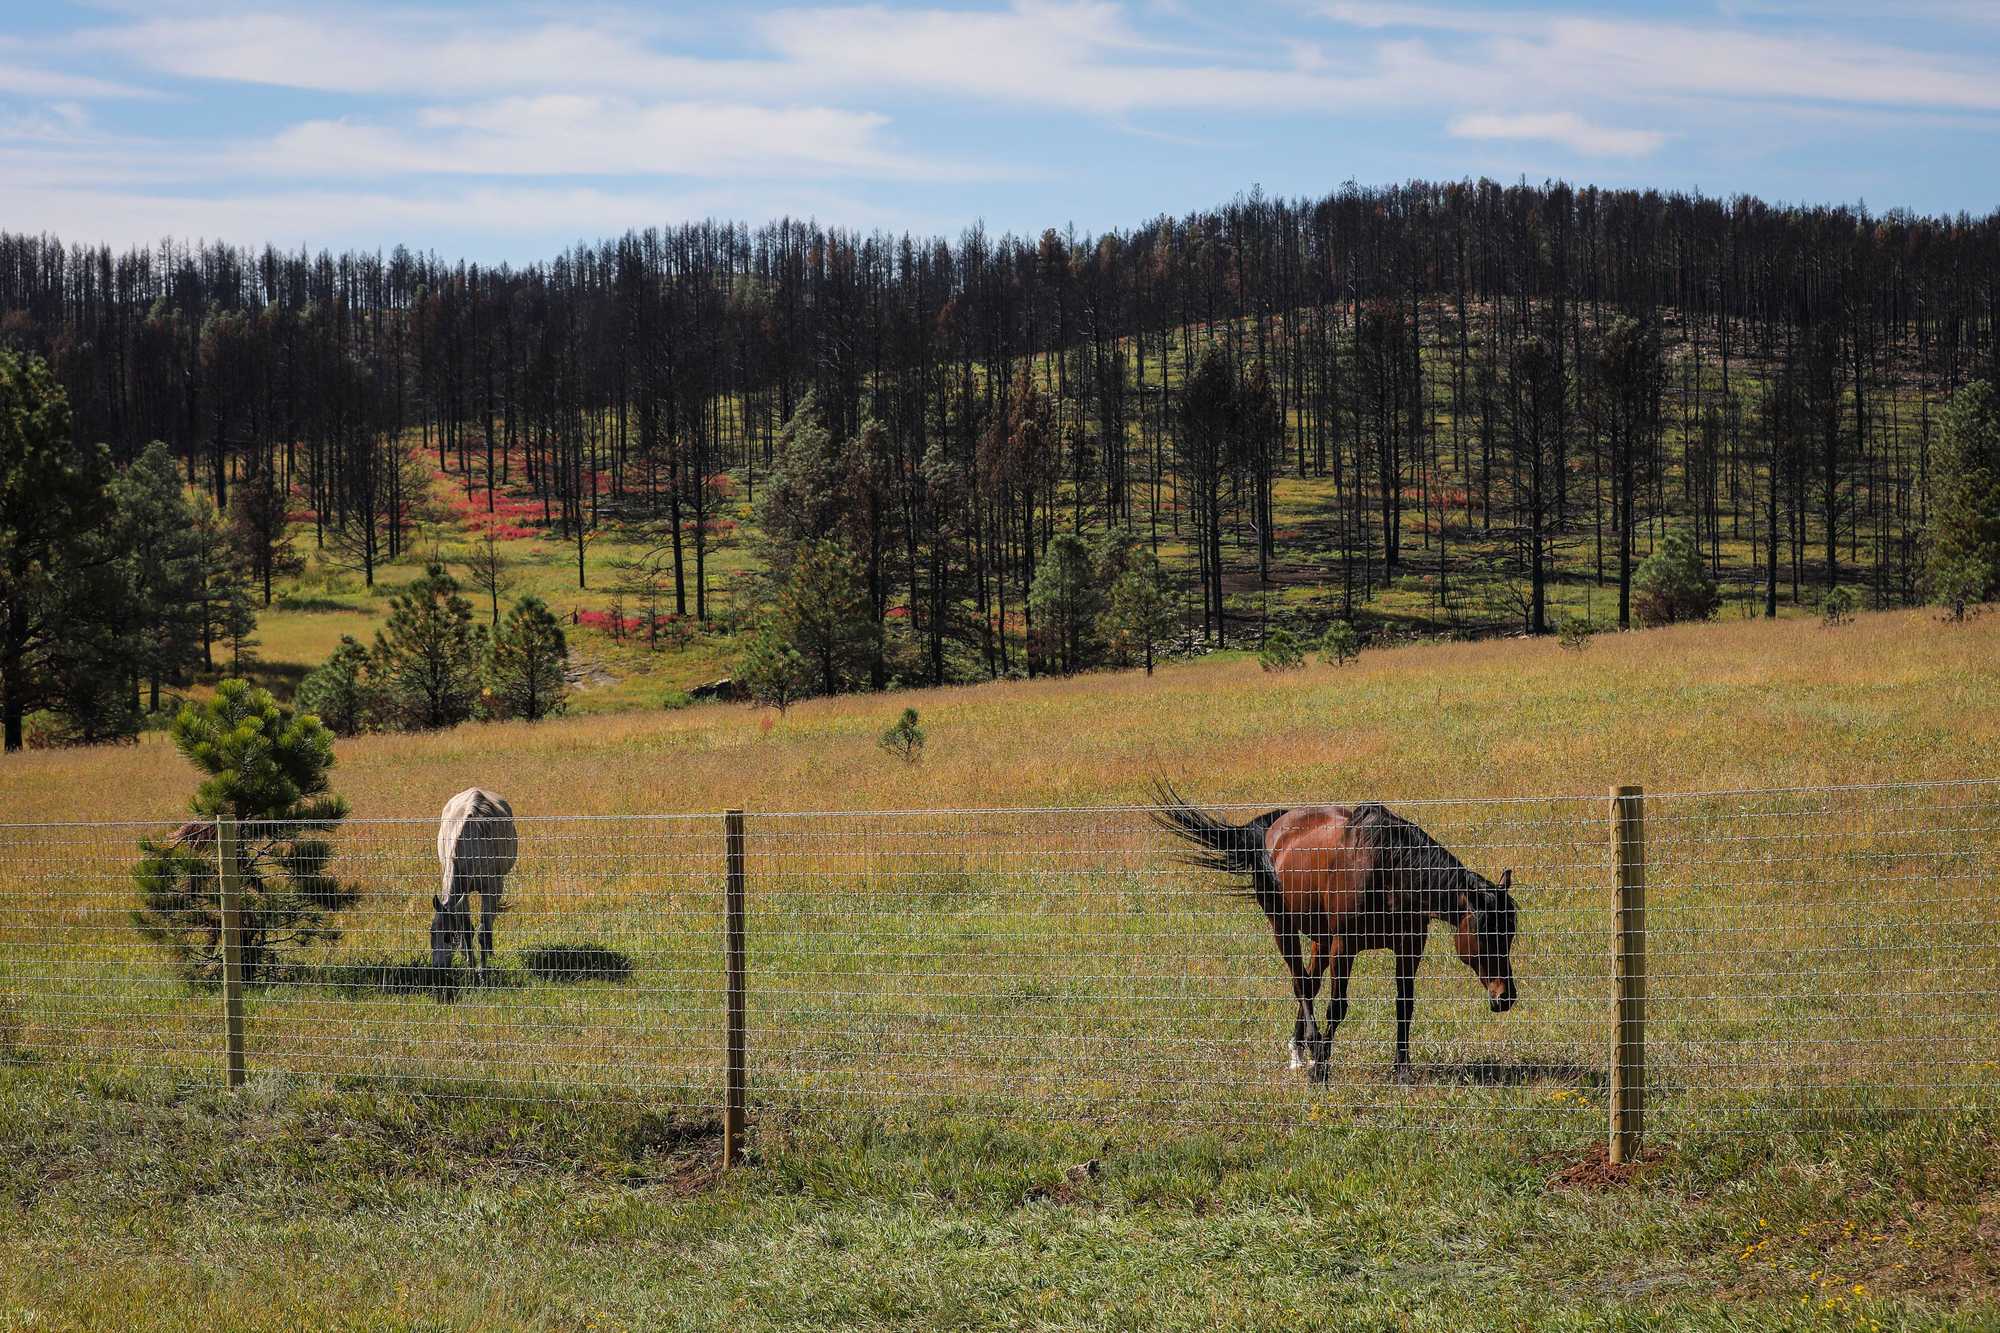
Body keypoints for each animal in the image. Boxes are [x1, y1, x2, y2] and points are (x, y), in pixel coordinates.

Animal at [428, 784, 516, 980]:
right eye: (432, 932)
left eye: (448, 936)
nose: (438, 969)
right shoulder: (464, 892)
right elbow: (467, 928)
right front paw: (471, 966)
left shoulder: (492, 887)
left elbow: (483, 930)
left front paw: (483, 971)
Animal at [1152, 784, 1520, 1072]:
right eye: (1486, 934)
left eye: (1509, 935)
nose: (1505, 997)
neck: (1388, 871)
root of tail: (1275, 827)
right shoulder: (1345, 946)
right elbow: (1338, 1007)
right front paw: (1322, 1066)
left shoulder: (1409, 945)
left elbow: (1405, 1004)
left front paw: (1402, 1071)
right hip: (1284, 929)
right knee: (1301, 984)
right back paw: (1310, 1050)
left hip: (1321, 938)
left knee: (1310, 983)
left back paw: (1301, 1050)